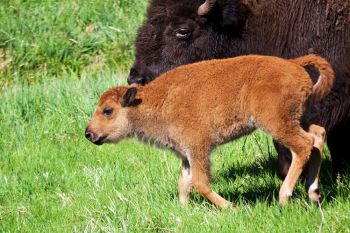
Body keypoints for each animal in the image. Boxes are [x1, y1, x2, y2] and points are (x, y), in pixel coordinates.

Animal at [85, 54, 334, 209]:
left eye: (107, 110)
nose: (88, 133)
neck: (155, 100)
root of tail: (294, 64)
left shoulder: (198, 149)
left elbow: (200, 183)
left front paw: (232, 208)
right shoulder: (186, 155)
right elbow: (184, 184)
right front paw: (185, 210)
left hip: (277, 124)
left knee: (303, 145)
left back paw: (284, 198)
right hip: (298, 118)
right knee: (317, 136)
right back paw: (313, 195)